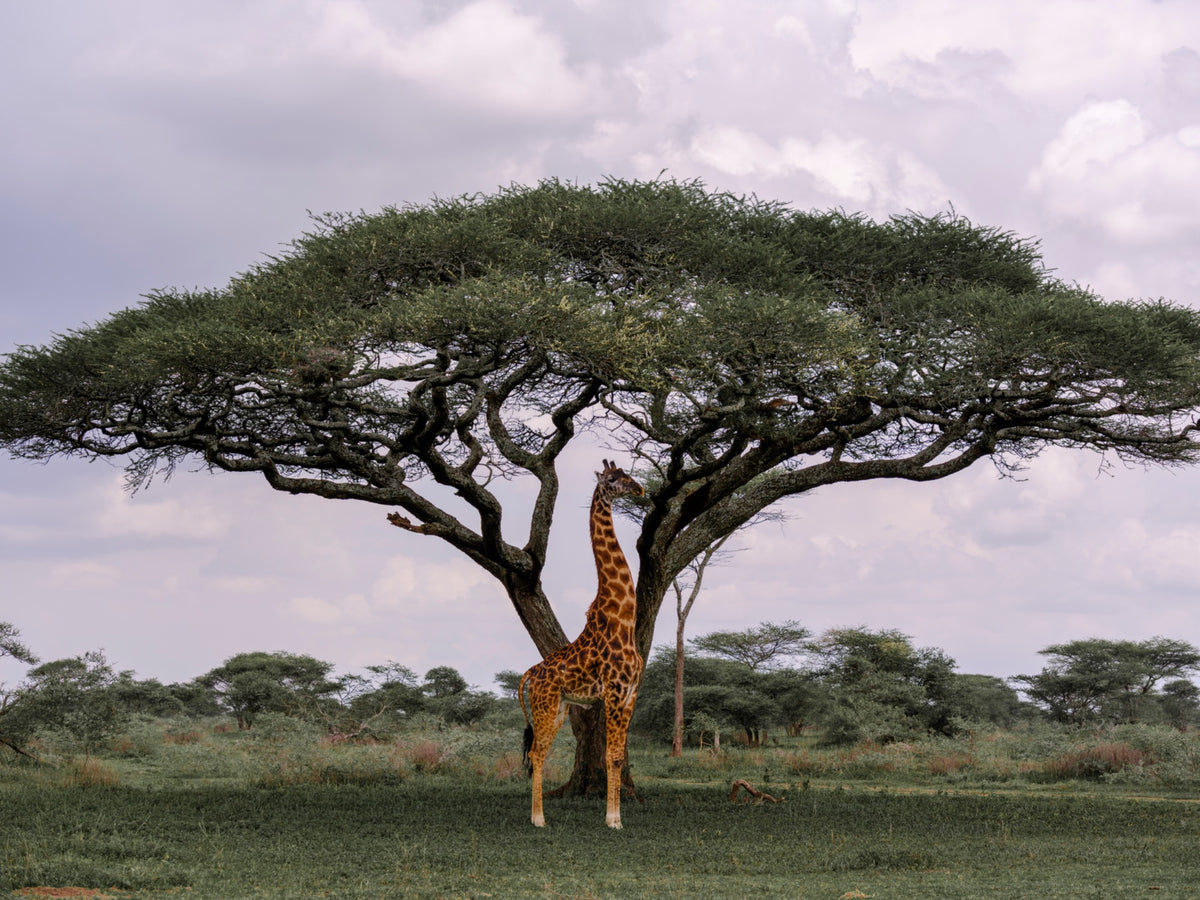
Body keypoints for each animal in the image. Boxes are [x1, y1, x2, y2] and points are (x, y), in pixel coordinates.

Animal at [519, 459, 645, 828]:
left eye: (628, 474)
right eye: (614, 479)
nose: (640, 489)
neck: (623, 620)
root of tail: (529, 673)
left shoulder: (631, 693)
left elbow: (616, 757)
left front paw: (615, 817)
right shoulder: (614, 691)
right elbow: (612, 755)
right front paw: (613, 819)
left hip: (559, 707)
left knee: (540, 752)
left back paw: (539, 816)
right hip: (545, 705)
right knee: (536, 753)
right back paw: (538, 819)